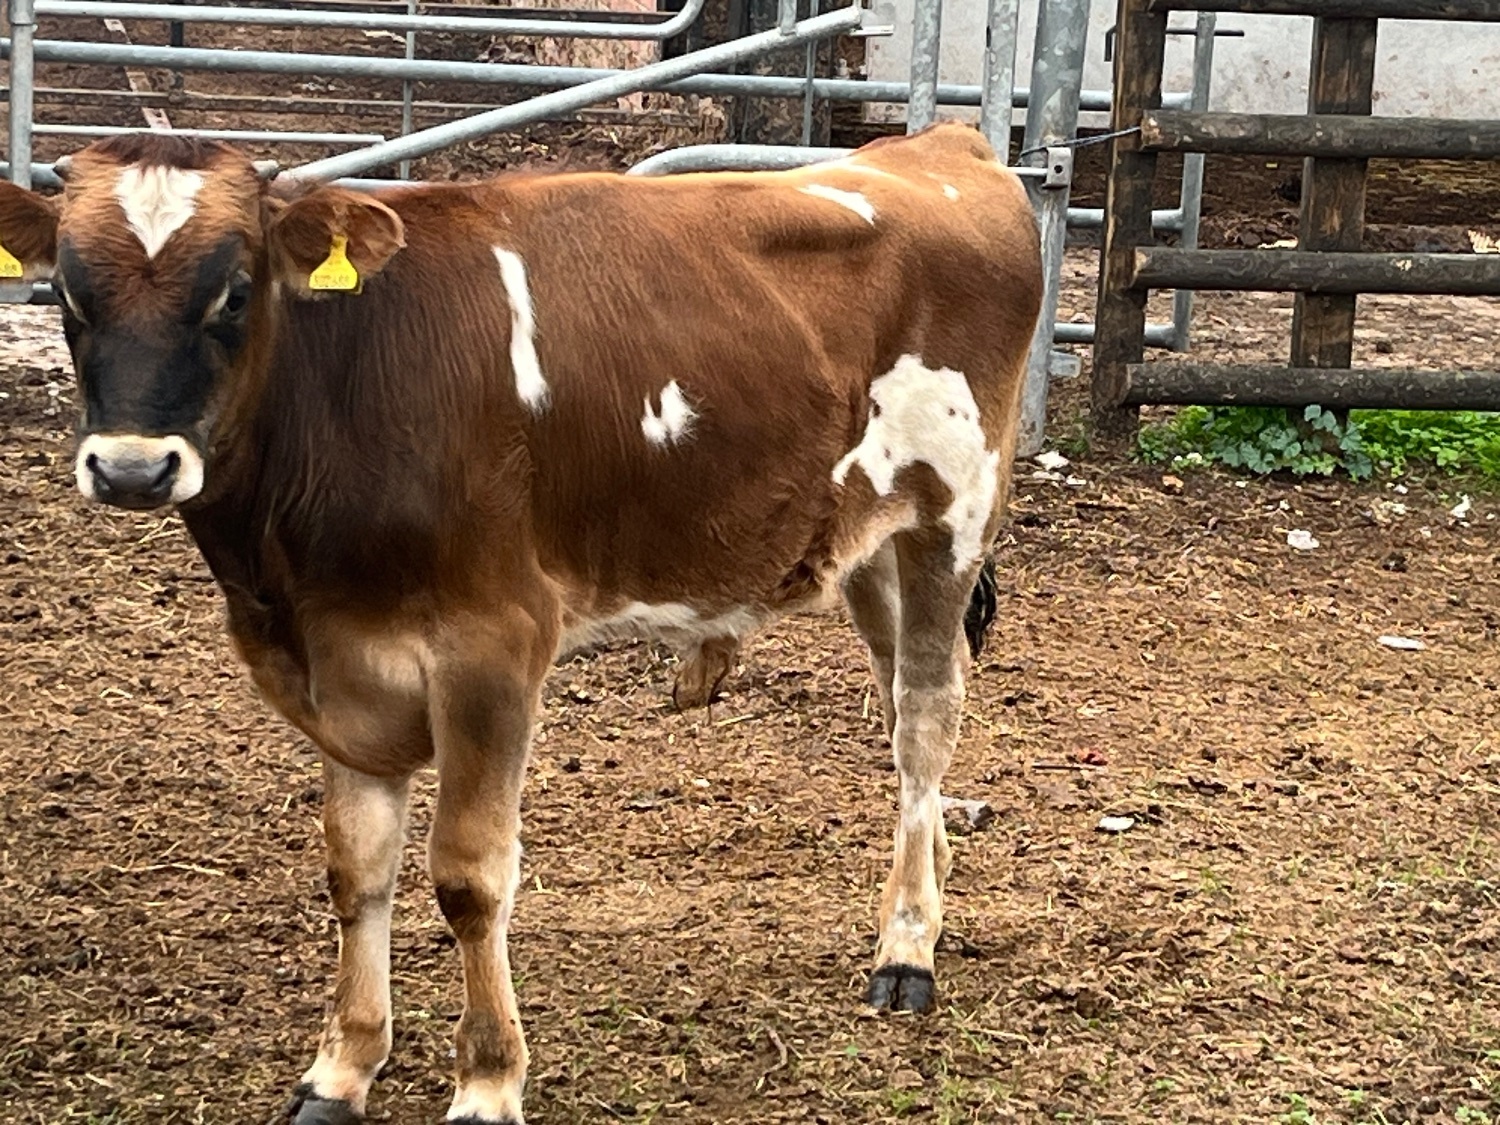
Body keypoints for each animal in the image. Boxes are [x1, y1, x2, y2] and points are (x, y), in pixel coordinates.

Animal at [0, 123, 1042, 1124]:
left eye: (235, 292)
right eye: (70, 296)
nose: (132, 469)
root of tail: (940, 146)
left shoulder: (492, 645)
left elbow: (470, 875)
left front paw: (489, 1081)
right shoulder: (337, 666)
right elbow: (355, 868)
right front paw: (343, 1066)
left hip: (954, 513)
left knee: (925, 720)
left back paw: (906, 948)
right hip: (868, 542)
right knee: (902, 707)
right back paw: (929, 883)